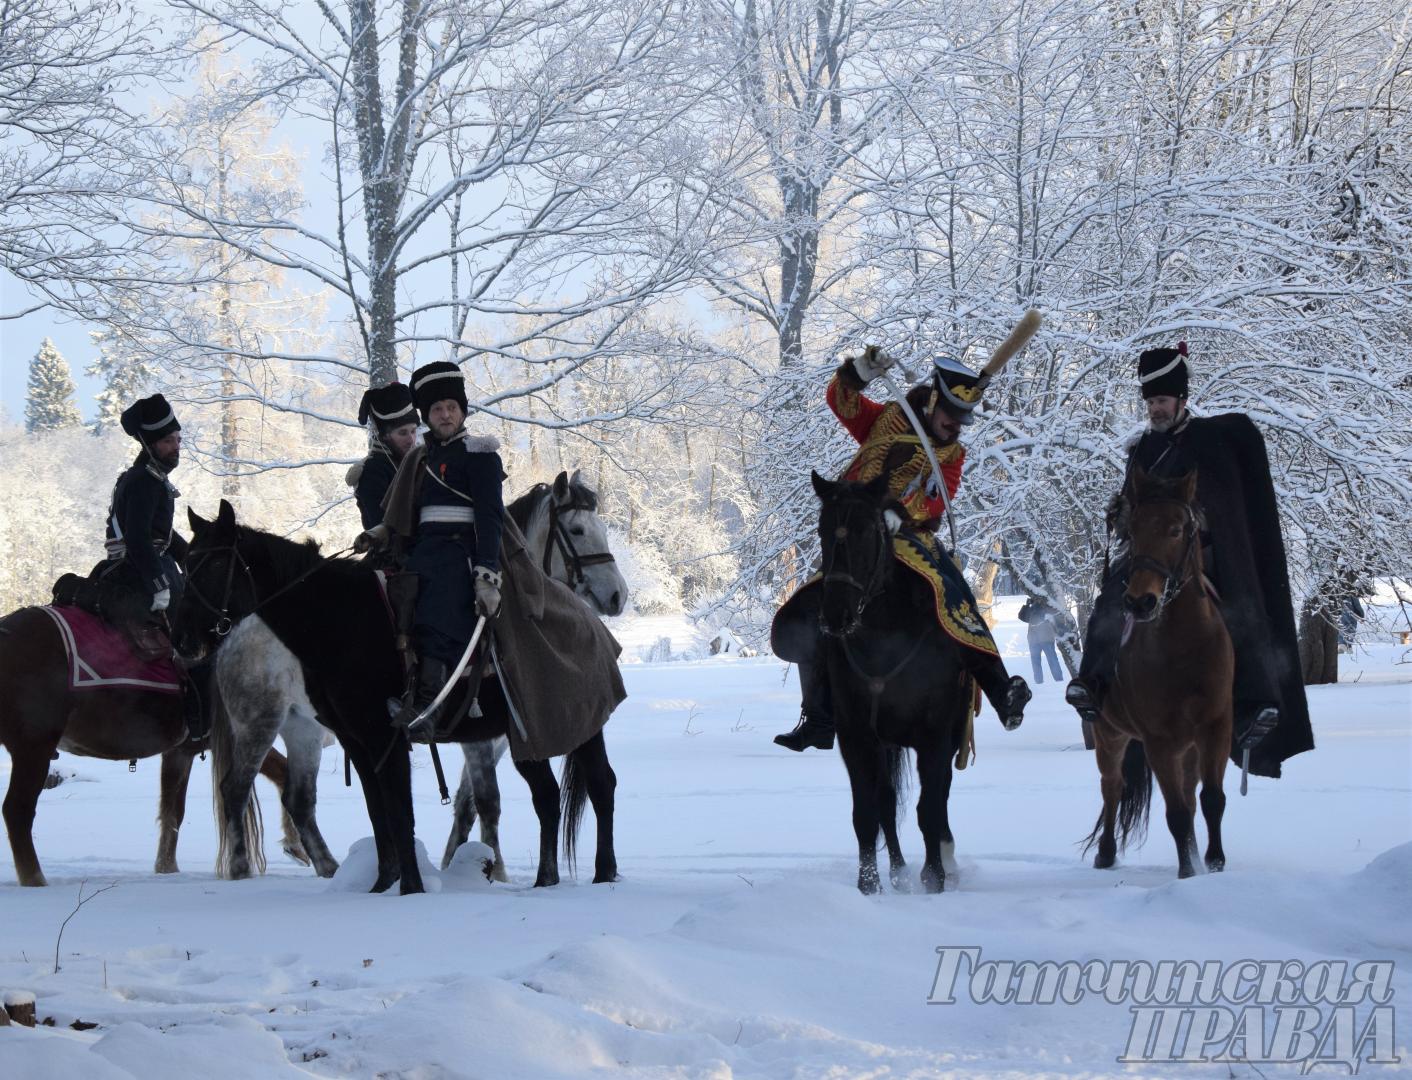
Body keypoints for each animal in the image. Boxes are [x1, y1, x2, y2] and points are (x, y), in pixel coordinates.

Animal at [0, 607, 289, 886]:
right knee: (17, 811)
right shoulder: (241, 734)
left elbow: (173, 812)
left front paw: (166, 869)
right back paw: (35, 879)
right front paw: (294, 843)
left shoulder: (180, 752)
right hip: (34, 747)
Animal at [172, 502, 618, 897]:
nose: (181, 638)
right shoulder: (364, 742)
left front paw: (411, 888)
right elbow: (385, 814)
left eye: (214, 564)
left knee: (596, 785)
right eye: (187, 565)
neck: (340, 618)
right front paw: (386, 886)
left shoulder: (388, 740)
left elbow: (407, 813)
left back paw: (598, 874)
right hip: (271, 727)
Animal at [807, 474, 1005, 892]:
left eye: (868, 530)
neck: (886, 633)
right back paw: (898, 874)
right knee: (886, 801)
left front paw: (934, 878)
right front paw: (869, 886)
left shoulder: (934, 735)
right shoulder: (857, 738)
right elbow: (867, 813)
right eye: (822, 530)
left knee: (938, 798)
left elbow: (929, 808)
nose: (834, 615)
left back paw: (946, 862)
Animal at [1084, 468, 1231, 880]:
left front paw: (1214, 863)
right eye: (1131, 530)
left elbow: (1211, 799)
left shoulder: (1215, 727)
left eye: (1177, 529)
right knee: (1112, 787)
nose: (1140, 602)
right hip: (1110, 734)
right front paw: (1187, 874)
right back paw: (1105, 854)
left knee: (1192, 795)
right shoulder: (1158, 741)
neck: (1184, 647)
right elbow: (1176, 813)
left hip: (1189, 748)